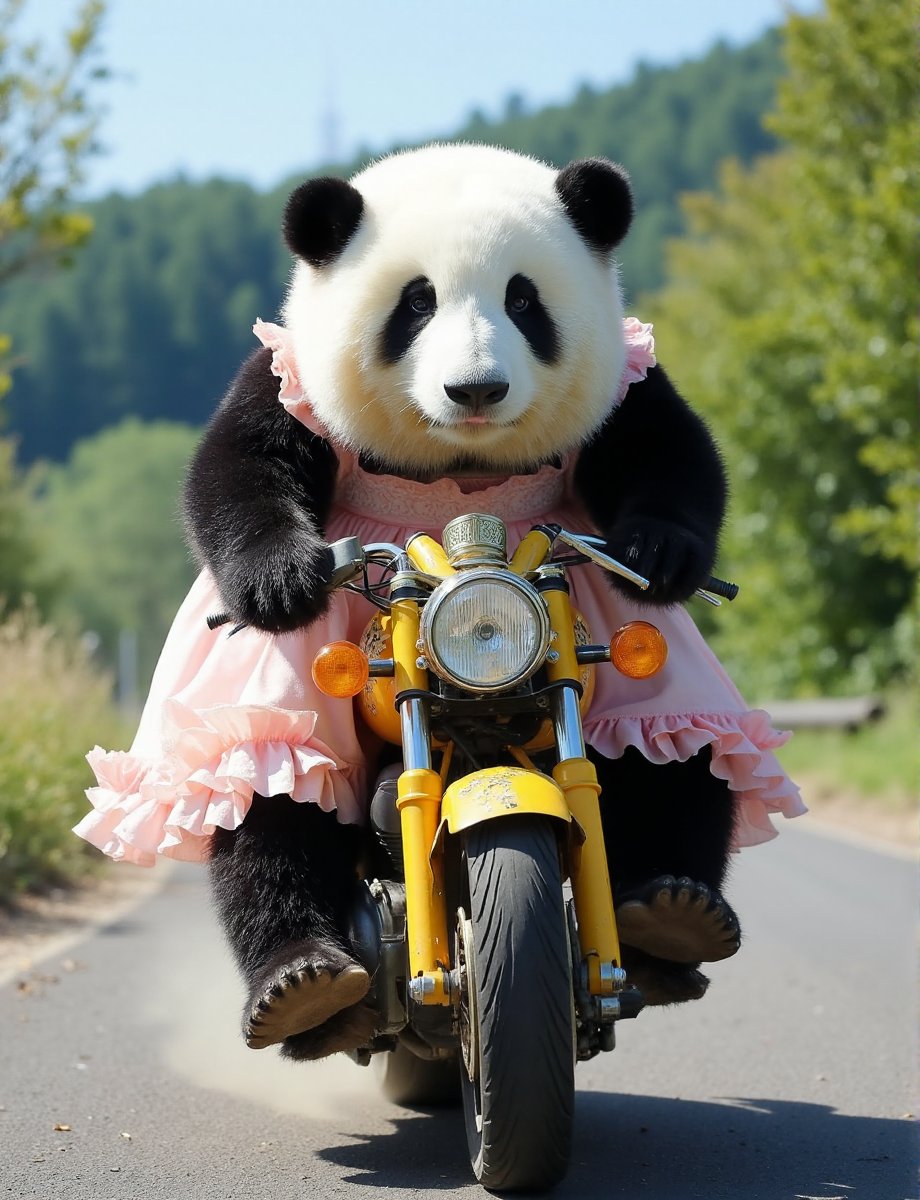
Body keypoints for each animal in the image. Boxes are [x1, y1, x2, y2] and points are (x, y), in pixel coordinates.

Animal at [79, 142, 801, 1060]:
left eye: (524, 300)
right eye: (415, 303)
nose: (477, 390)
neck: (459, 478)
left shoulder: (626, 383)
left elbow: (668, 447)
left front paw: (659, 551)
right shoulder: (290, 376)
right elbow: (238, 463)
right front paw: (280, 576)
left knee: (676, 747)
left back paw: (672, 915)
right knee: (265, 782)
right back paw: (302, 980)